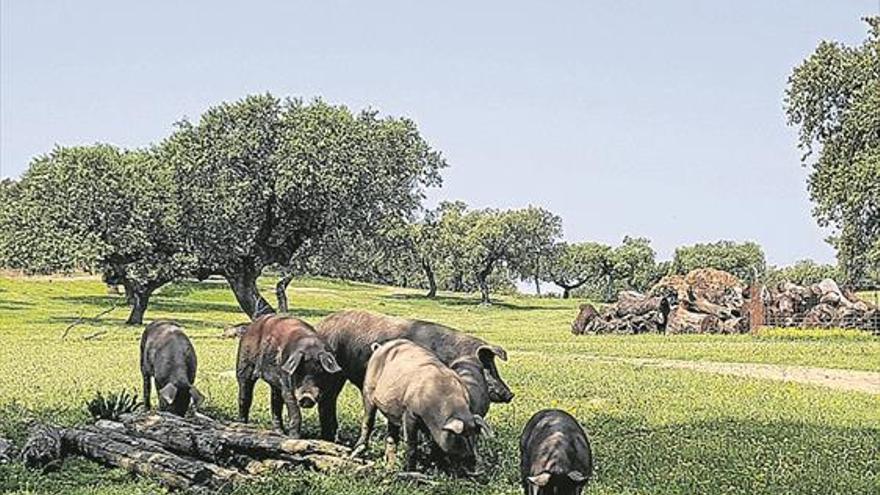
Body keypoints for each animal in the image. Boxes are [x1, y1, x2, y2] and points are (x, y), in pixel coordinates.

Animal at [350, 340, 492, 474]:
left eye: (475, 435)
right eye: (461, 437)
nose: (474, 466)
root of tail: (379, 347)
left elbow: (435, 445)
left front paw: (438, 467)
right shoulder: (409, 413)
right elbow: (412, 445)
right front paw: (411, 471)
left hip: (392, 411)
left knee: (391, 436)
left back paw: (391, 466)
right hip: (368, 390)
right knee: (368, 421)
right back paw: (357, 453)